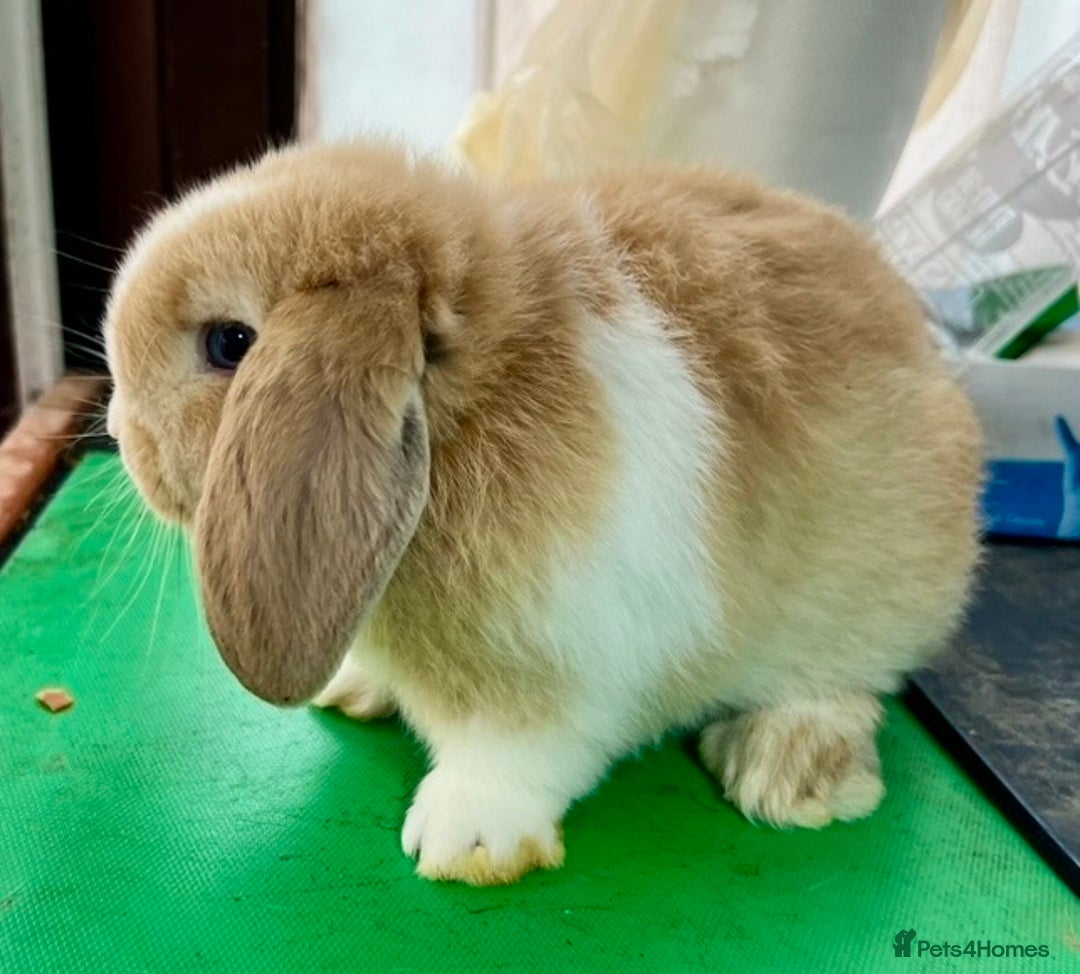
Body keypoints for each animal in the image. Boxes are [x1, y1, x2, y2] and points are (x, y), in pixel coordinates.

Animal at [103, 142, 982, 886]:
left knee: (850, 683)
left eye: (229, 343)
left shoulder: (561, 667)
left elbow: (516, 755)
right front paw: (357, 687)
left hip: (868, 607)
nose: (116, 430)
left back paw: (790, 773)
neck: (472, 405)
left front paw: (464, 842)